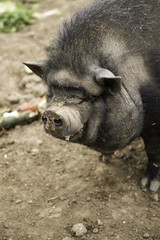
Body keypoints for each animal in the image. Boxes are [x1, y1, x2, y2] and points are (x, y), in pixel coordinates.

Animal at [23, 0, 160, 192]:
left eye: (83, 98)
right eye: (51, 93)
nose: (52, 113)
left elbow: (154, 148)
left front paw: (148, 188)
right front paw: (104, 160)